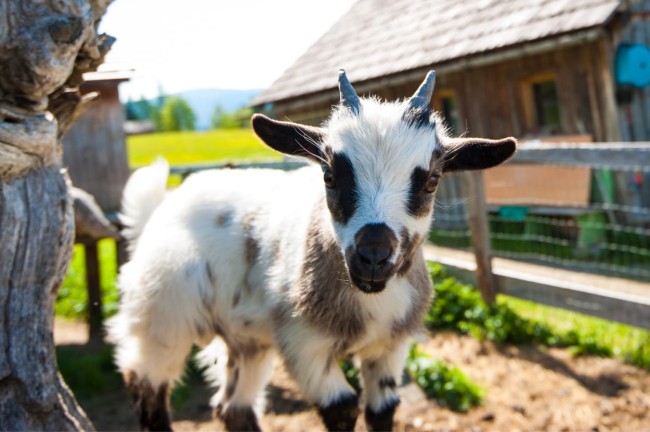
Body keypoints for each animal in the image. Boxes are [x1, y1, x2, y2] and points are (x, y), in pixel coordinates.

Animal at [107, 70, 516, 431]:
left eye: (432, 180)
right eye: (329, 175)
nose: (373, 256)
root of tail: (162, 206)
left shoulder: (389, 348)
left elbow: (382, 411)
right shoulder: (305, 345)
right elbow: (343, 409)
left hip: (247, 339)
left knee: (232, 407)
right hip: (162, 315)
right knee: (146, 383)